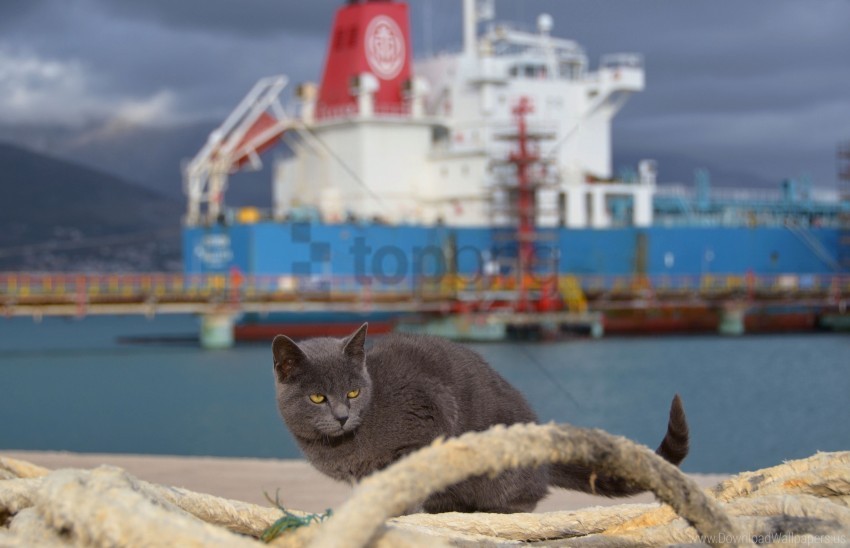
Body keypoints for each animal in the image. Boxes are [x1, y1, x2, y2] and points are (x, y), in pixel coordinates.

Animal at [274, 324, 688, 512]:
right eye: (318, 397)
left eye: (353, 393)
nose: (343, 416)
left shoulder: (430, 415)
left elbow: (410, 476)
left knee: (527, 495)